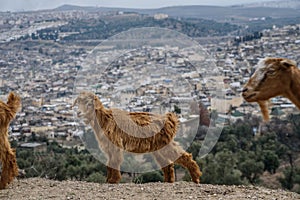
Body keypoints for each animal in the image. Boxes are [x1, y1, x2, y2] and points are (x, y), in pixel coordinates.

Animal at [72, 91, 202, 184]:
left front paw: (113, 180)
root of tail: (168, 119)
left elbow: (115, 161)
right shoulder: (109, 147)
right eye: (78, 103)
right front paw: (108, 180)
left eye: (89, 104)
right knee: (168, 163)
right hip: (158, 147)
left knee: (182, 156)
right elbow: (110, 162)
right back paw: (168, 181)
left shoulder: (115, 145)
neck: (104, 119)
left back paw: (196, 177)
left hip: (164, 144)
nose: (78, 113)